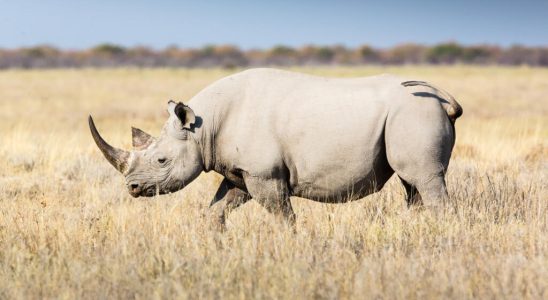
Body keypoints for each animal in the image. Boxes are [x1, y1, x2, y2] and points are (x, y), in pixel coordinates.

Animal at [89, 68, 462, 227]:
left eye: (162, 160)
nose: (132, 188)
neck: (202, 128)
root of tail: (442, 99)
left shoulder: (265, 174)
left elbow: (283, 216)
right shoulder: (240, 172)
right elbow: (217, 209)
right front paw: (214, 243)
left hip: (414, 112)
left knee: (425, 180)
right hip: (410, 114)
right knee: (412, 185)